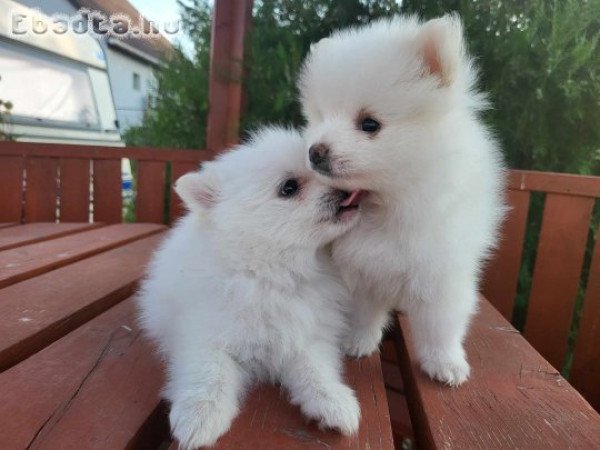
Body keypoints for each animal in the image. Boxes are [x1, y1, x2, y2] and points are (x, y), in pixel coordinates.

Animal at [139, 127, 364, 450]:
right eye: (289, 187)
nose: (347, 191)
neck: (271, 273)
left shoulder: (306, 334)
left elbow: (315, 368)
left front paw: (332, 401)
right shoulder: (203, 334)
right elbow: (210, 372)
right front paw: (200, 416)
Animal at [300, 15, 506, 384]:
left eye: (369, 124)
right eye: (320, 118)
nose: (315, 151)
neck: (387, 203)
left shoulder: (441, 272)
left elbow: (441, 325)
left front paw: (445, 363)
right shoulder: (360, 269)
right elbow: (364, 312)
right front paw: (359, 341)